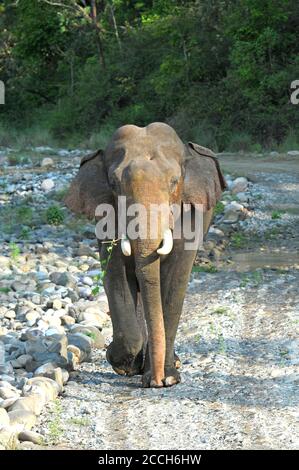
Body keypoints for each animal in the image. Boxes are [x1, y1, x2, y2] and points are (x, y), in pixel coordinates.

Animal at [64, 123, 226, 388]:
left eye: (174, 182)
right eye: (113, 183)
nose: (157, 381)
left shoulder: (191, 215)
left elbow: (174, 280)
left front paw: (168, 379)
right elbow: (115, 273)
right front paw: (122, 364)